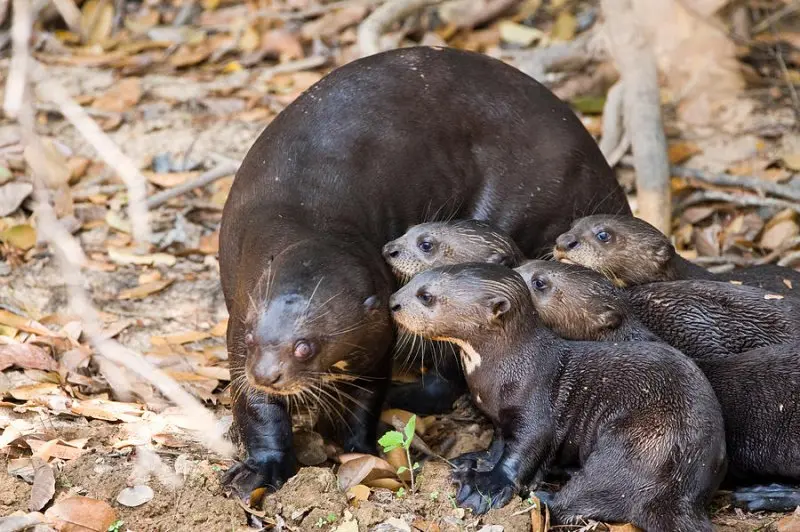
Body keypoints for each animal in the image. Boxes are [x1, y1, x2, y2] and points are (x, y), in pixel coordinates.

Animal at [219, 46, 632, 498]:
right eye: (255, 338)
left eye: (305, 347)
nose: (267, 374)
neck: (305, 217)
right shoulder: (240, 322)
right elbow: (256, 405)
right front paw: (260, 468)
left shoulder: (375, 339)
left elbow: (365, 398)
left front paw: (362, 450)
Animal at [390, 262, 728, 528]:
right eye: (415, 280)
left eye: (426, 296)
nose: (393, 302)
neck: (508, 367)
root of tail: (683, 491)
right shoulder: (499, 416)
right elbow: (498, 443)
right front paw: (476, 461)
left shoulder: (534, 407)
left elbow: (524, 448)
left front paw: (486, 486)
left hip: (638, 448)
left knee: (580, 499)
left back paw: (542, 496)